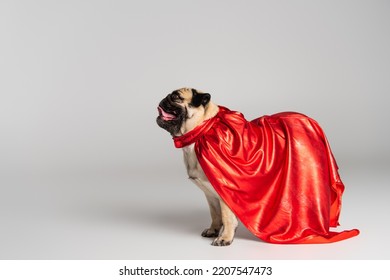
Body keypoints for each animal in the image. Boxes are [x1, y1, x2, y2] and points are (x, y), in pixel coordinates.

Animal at [156, 87, 238, 245]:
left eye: (176, 97)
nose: (165, 97)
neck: (201, 131)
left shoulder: (225, 193)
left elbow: (226, 216)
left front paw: (225, 237)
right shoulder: (210, 194)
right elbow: (215, 213)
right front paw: (213, 229)